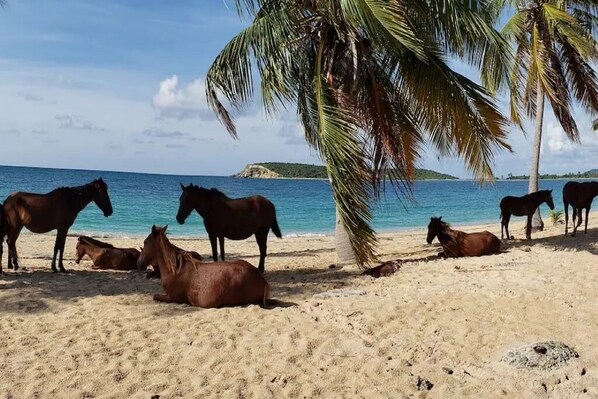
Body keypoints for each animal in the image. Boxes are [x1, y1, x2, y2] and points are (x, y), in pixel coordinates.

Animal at [137, 225, 270, 310]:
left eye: (145, 242)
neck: (174, 269)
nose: (139, 263)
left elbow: (155, 296)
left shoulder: (172, 297)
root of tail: (262, 280)